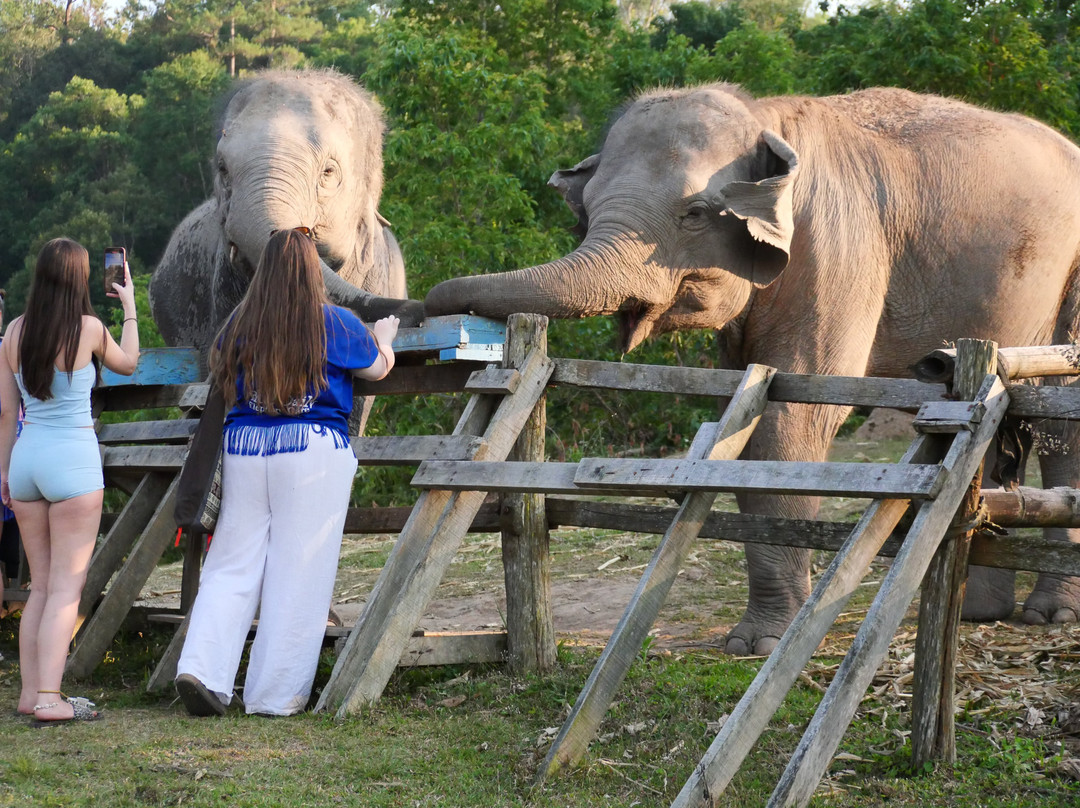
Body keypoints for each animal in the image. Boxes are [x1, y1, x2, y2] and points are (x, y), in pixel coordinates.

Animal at [425, 84, 1080, 655]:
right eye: (584, 211)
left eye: (694, 213)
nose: (427, 306)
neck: (765, 116)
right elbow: (739, 406)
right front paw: (754, 640)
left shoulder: (838, 249)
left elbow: (789, 418)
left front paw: (760, 645)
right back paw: (979, 614)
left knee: (1061, 419)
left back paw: (1049, 614)